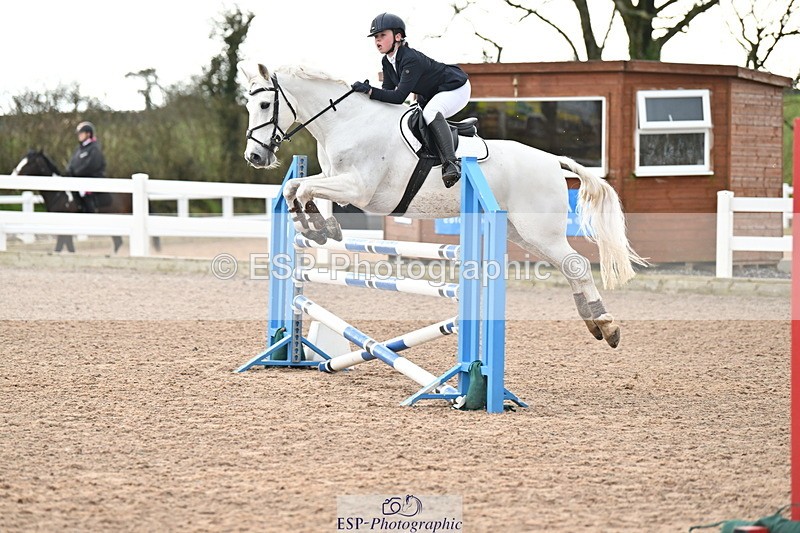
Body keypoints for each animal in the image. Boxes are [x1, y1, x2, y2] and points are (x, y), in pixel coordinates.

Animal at [238, 62, 648, 348]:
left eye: (265, 104)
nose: (254, 157)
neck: (348, 122)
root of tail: (552, 160)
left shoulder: (358, 188)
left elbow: (302, 186)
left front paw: (319, 228)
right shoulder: (337, 181)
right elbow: (300, 188)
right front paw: (320, 229)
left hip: (539, 230)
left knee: (577, 264)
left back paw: (608, 326)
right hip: (523, 233)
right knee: (569, 267)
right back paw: (595, 324)